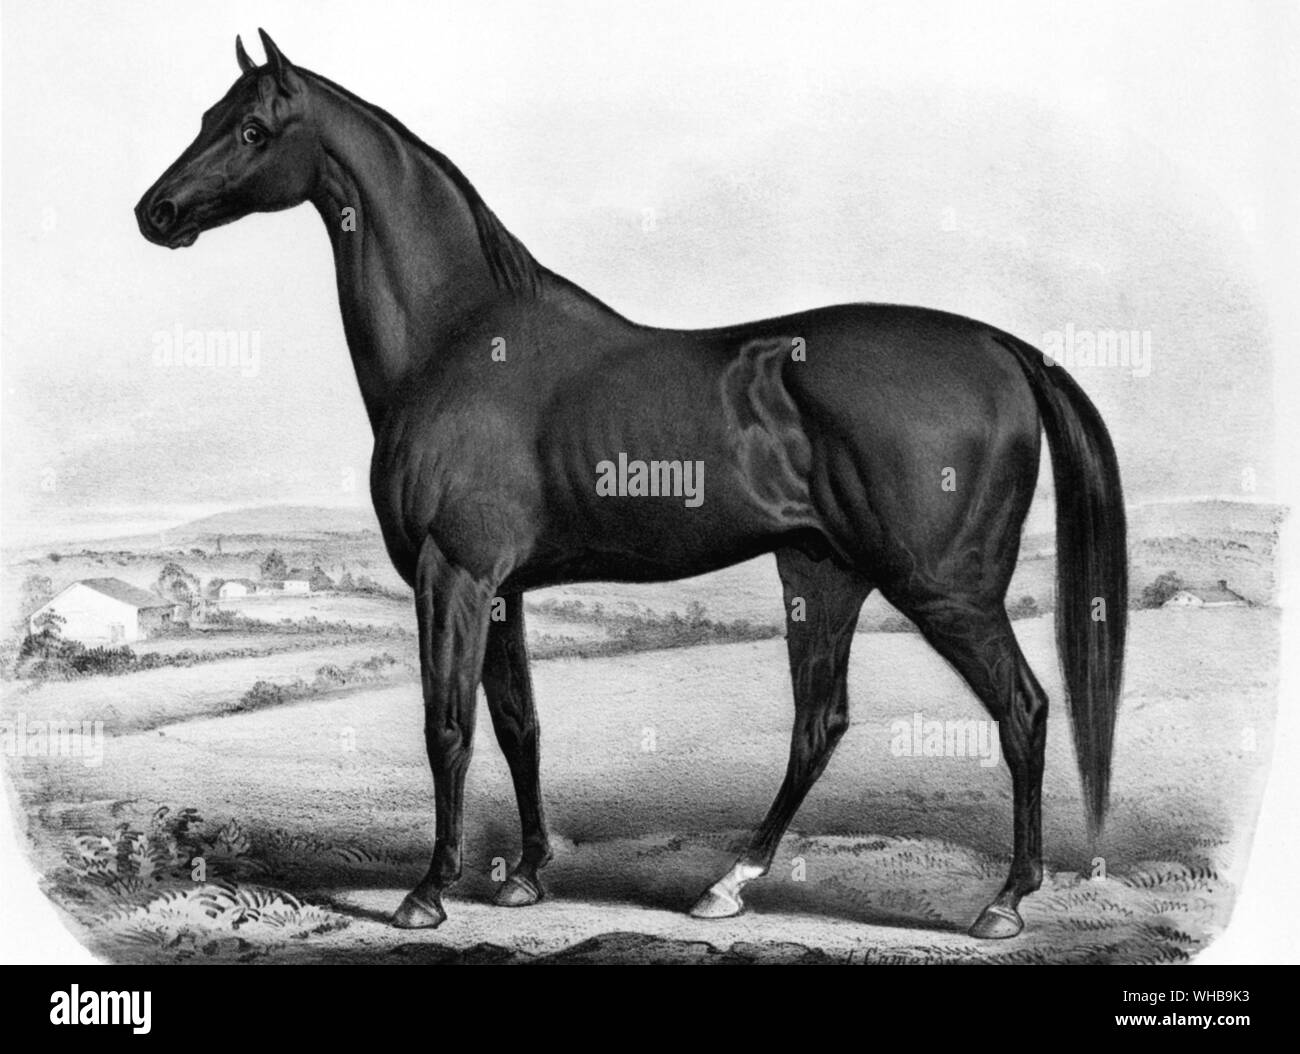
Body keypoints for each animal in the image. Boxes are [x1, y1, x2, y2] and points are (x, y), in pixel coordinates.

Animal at [136, 31, 1126, 939]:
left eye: (254, 129)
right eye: (207, 116)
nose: (156, 210)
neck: (461, 338)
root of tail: (1002, 348)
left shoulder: (453, 575)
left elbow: (447, 727)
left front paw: (427, 893)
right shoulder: (501, 590)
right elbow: (519, 726)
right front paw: (525, 875)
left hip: (945, 590)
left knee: (1024, 711)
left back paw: (1004, 902)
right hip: (822, 574)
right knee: (821, 725)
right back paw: (727, 886)